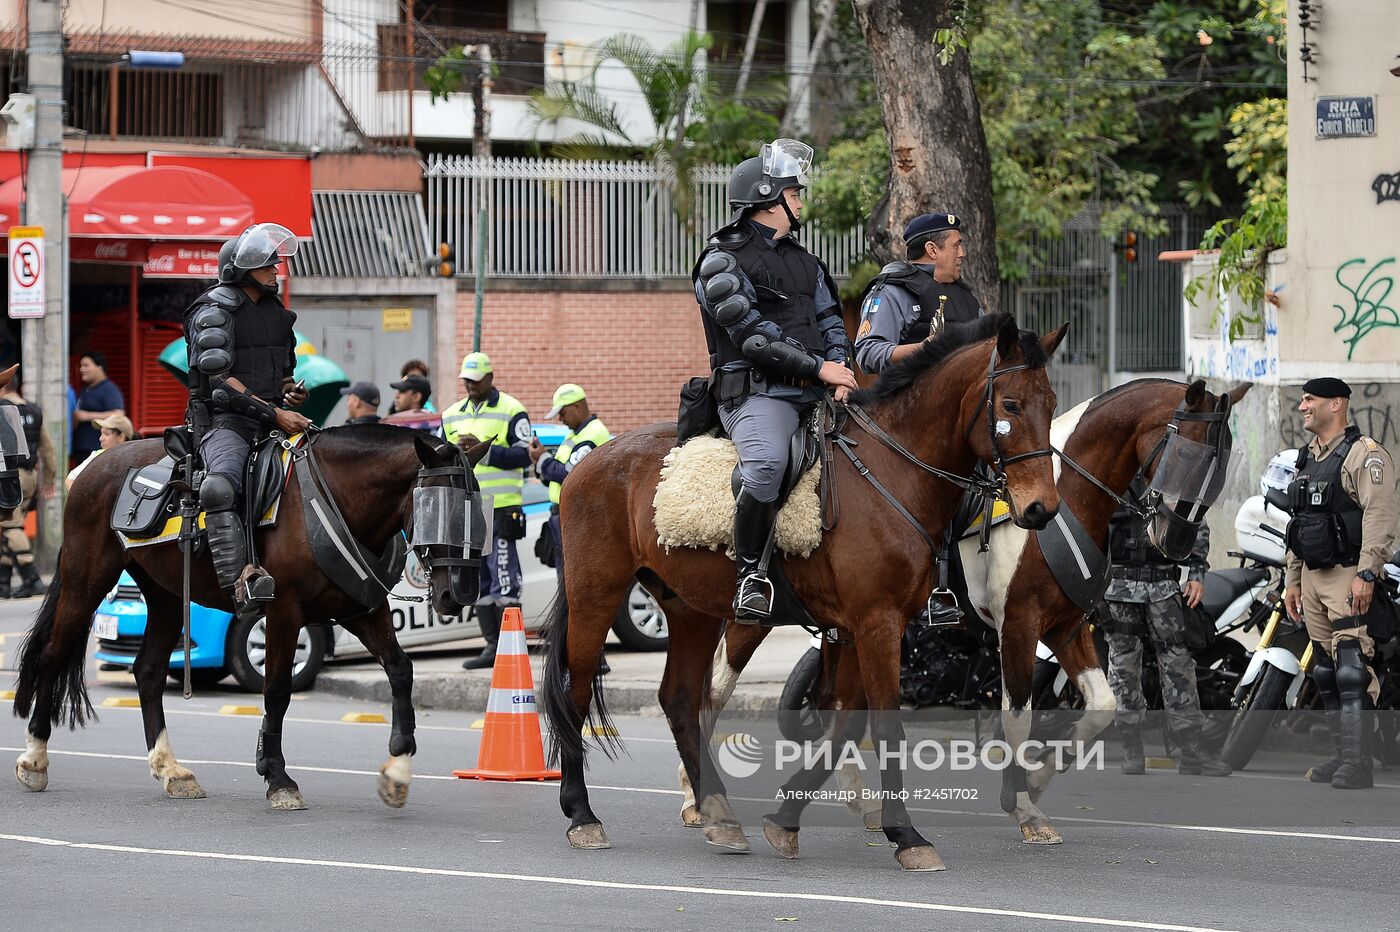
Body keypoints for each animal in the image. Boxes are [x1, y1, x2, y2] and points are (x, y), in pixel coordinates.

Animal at [12, 425, 487, 811]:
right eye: (436, 509)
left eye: (479, 512)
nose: (458, 594)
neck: (332, 499)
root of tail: (92, 466)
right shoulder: (284, 612)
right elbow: (276, 691)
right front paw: (277, 777)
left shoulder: (362, 610)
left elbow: (401, 670)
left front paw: (398, 769)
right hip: (86, 579)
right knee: (52, 656)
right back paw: (34, 758)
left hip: (166, 595)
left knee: (147, 671)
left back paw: (170, 769)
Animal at [540, 312, 1064, 873]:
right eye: (1010, 405)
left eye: (1052, 403)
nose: (1040, 509)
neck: (893, 472)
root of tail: (587, 463)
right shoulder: (878, 623)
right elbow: (884, 727)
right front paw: (907, 835)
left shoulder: (859, 629)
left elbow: (843, 726)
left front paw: (787, 820)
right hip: (597, 596)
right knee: (575, 694)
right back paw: (583, 815)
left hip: (691, 611)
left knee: (680, 699)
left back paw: (719, 814)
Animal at [672, 372, 1254, 839]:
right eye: (1188, 455)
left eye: (1223, 463)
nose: (1178, 542)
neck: (1063, 499)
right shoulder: (1018, 626)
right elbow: (1017, 717)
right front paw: (1021, 804)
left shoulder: (1066, 628)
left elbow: (1101, 708)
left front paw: (1037, 781)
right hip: (760, 616)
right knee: (716, 688)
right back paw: (698, 795)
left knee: (826, 705)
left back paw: (853, 801)